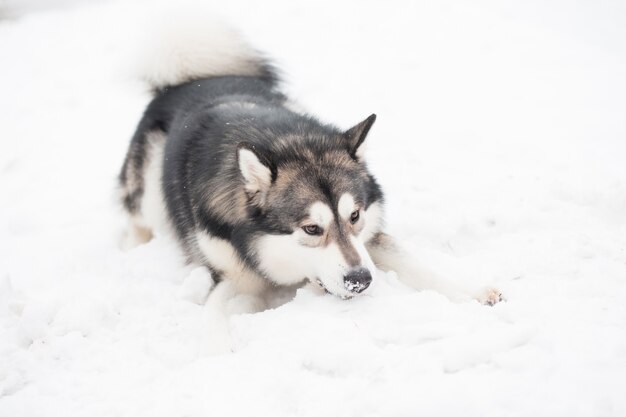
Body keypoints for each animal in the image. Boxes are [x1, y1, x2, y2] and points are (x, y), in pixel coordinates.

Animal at [117, 20, 500, 306]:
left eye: (355, 216)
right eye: (311, 229)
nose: (360, 280)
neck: (283, 142)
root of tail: (188, 80)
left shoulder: (370, 240)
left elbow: (417, 264)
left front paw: (472, 292)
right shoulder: (232, 276)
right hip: (149, 192)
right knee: (137, 218)